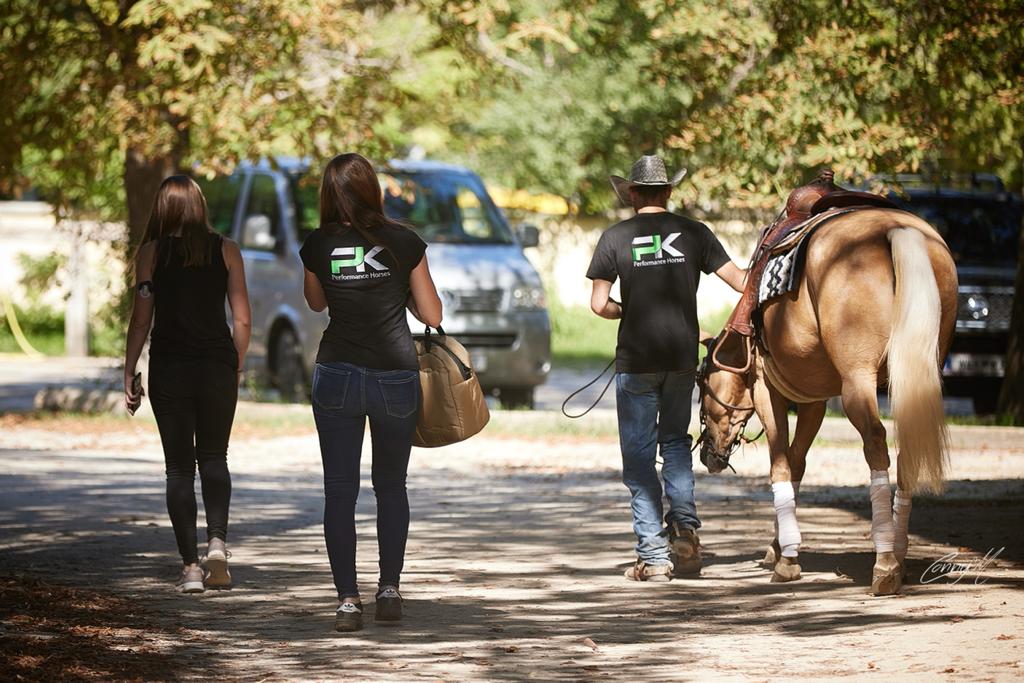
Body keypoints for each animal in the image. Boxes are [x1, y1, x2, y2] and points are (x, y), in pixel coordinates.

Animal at [700, 206, 954, 593]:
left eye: (700, 388)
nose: (707, 456)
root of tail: (898, 228)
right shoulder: (813, 401)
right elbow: (797, 463)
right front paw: (780, 546)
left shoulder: (767, 392)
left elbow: (781, 465)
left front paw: (787, 560)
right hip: (915, 375)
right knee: (906, 451)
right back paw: (898, 555)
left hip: (857, 382)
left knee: (876, 444)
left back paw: (885, 563)